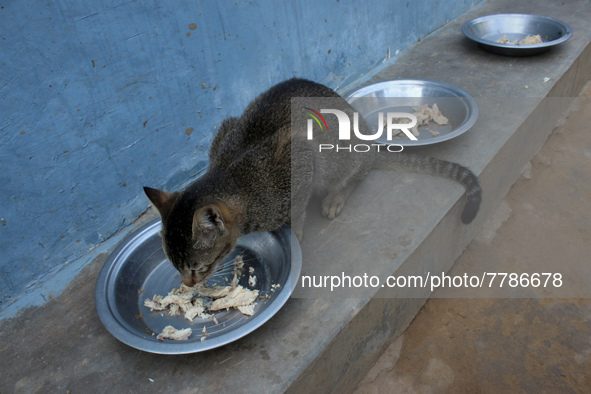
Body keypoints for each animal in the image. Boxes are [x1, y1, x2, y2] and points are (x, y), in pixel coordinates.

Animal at [143, 77, 480, 286]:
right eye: (175, 267)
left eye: (197, 268)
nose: (188, 284)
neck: (232, 171)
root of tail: (370, 142)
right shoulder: (226, 129)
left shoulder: (300, 159)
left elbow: (298, 208)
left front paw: (297, 233)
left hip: (338, 156)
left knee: (358, 172)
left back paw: (336, 196)